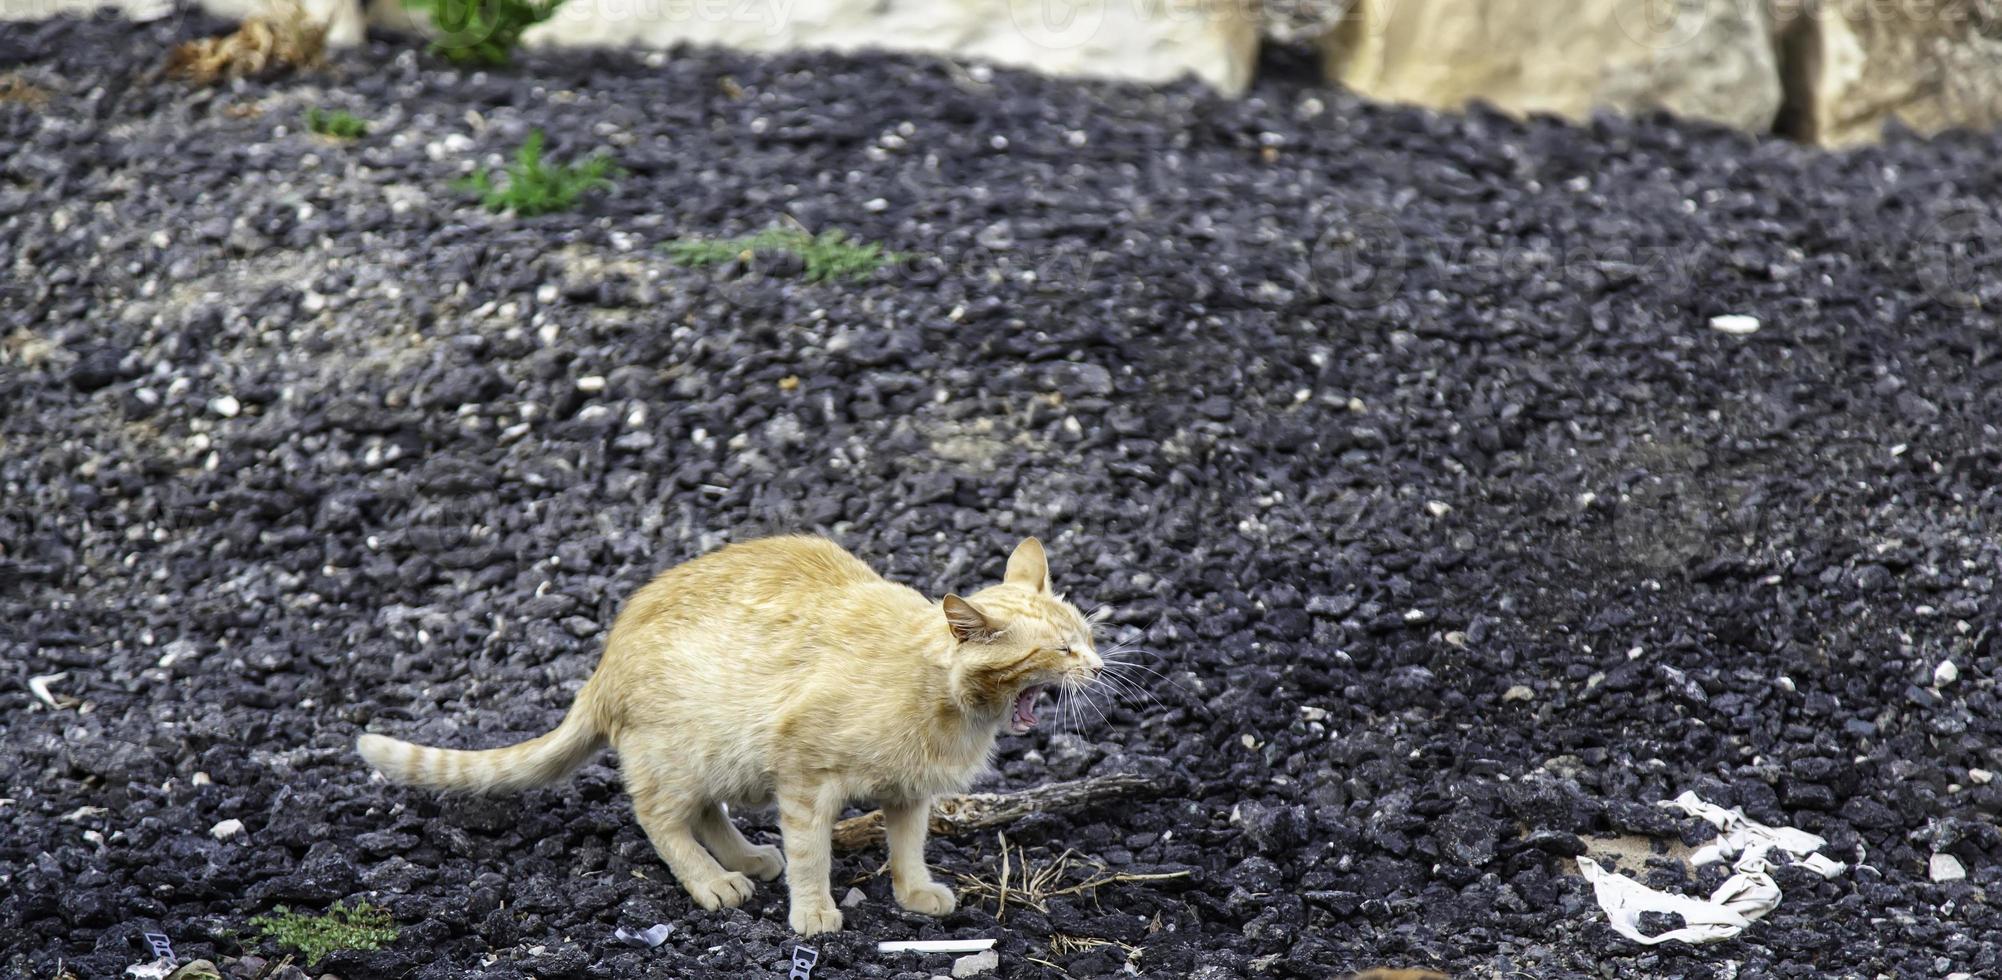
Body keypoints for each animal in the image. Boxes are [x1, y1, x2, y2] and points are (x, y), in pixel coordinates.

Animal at [364, 536, 1113, 936]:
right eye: (1060, 650)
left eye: (1086, 635)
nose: (1103, 665)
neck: (946, 701)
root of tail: (605, 663)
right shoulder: (805, 778)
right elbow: (812, 855)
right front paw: (813, 913)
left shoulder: (907, 793)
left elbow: (908, 848)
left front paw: (913, 893)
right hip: (687, 752)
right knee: (660, 817)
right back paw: (712, 881)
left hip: (724, 760)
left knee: (705, 812)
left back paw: (747, 859)